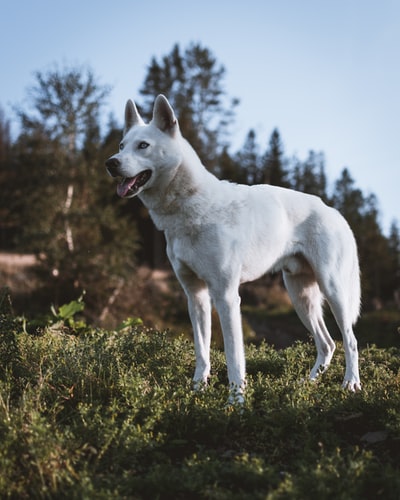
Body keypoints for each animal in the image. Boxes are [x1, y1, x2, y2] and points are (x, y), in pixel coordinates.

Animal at [104, 94, 360, 402]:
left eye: (143, 145)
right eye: (121, 145)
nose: (110, 163)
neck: (189, 208)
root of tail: (334, 211)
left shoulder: (226, 296)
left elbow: (234, 357)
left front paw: (236, 402)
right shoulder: (195, 296)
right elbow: (202, 352)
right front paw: (197, 391)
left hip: (333, 291)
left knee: (350, 340)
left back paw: (351, 384)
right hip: (301, 297)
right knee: (327, 344)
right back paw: (305, 386)